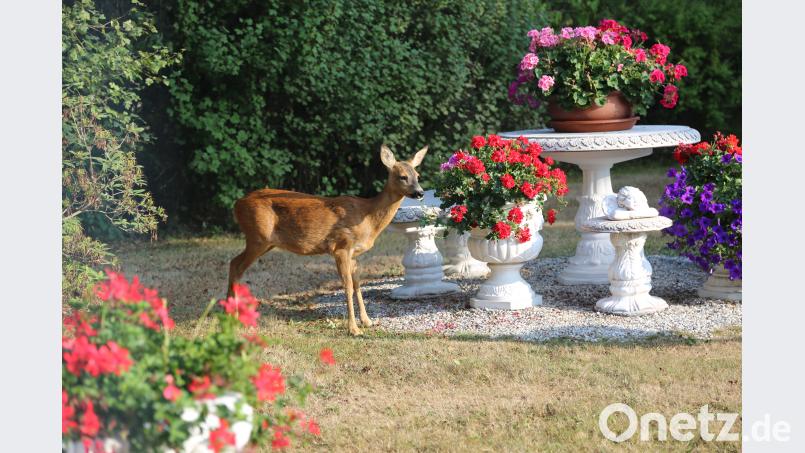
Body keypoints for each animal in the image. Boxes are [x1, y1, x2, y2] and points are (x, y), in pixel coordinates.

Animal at [227, 145, 429, 335]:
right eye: (403, 177)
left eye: (418, 175)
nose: (420, 193)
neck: (368, 217)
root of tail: (237, 204)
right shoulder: (341, 247)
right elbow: (347, 286)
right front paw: (354, 329)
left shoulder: (354, 254)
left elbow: (357, 284)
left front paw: (367, 321)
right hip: (258, 237)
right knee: (236, 265)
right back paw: (233, 316)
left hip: (266, 242)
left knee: (233, 263)